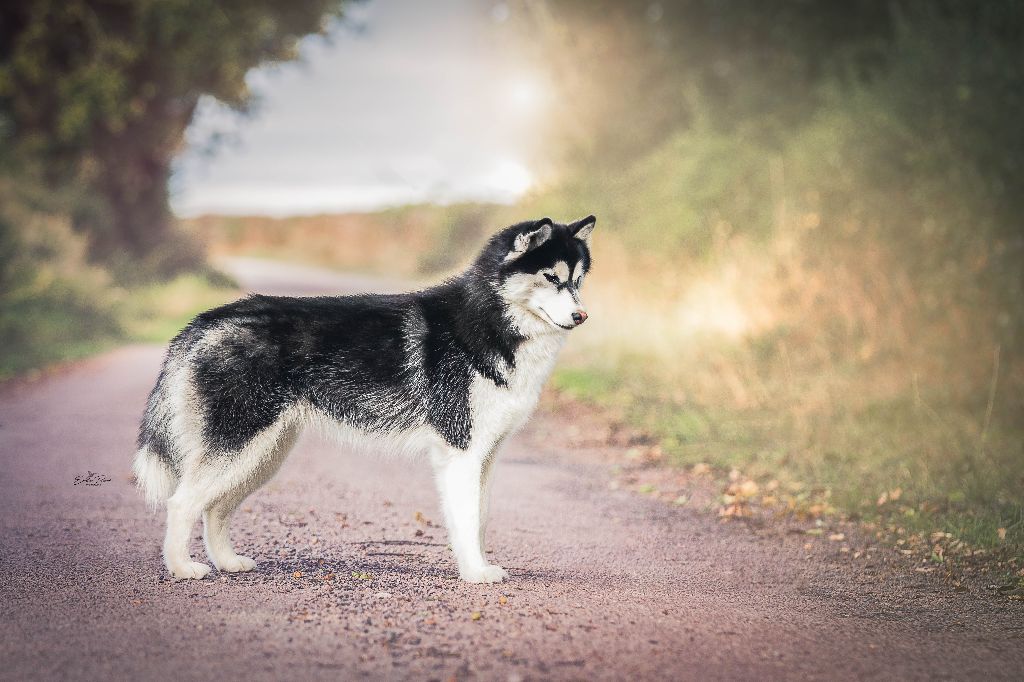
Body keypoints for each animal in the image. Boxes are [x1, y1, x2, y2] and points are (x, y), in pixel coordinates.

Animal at [134, 215, 598, 581]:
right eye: (551, 277)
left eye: (577, 281)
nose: (581, 316)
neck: (491, 322)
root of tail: (205, 320)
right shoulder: (461, 451)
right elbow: (466, 519)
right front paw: (475, 573)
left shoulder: (485, 456)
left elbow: (478, 519)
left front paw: (477, 565)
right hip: (239, 446)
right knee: (181, 502)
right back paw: (182, 568)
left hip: (263, 454)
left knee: (215, 509)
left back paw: (228, 562)